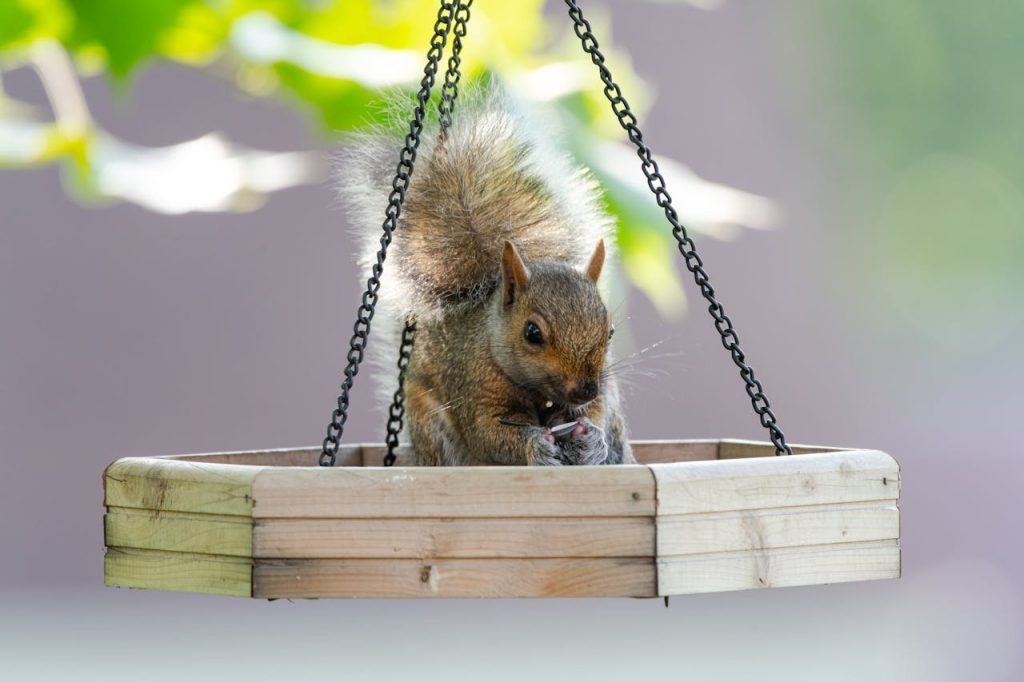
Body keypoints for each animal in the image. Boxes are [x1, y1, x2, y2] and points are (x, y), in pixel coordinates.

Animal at [341, 86, 633, 466]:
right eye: (532, 333)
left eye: (610, 331)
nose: (585, 389)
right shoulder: (474, 384)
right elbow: (488, 434)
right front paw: (536, 445)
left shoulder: (601, 391)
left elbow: (597, 412)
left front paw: (591, 438)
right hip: (428, 426)